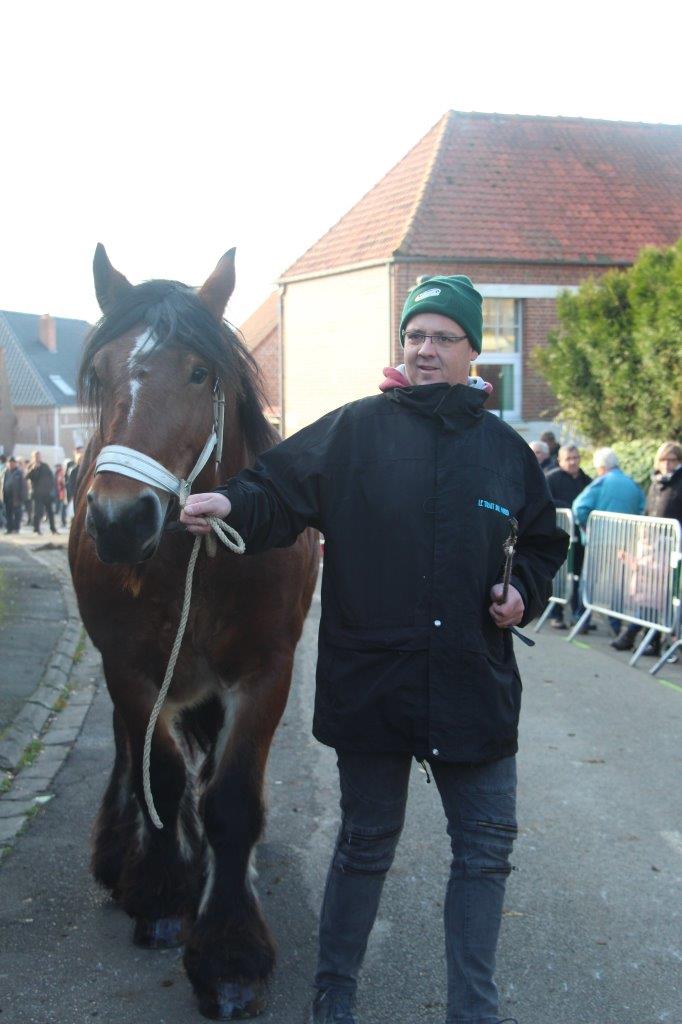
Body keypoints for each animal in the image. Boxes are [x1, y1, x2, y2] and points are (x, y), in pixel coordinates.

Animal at [67, 243, 317, 1019]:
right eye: (99, 374)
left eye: (200, 373)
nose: (119, 520)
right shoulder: (130, 669)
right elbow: (163, 774)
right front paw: (160, 892)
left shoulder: (266, 673)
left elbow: (229, 800)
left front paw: (231, 951)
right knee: (135, 756)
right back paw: (121, 851)